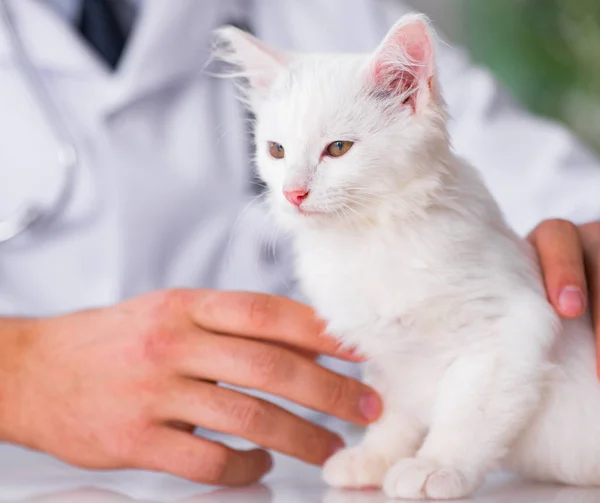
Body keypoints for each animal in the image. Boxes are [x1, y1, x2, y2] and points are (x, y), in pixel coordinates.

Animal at [214, 13, 600, 502]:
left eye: (337, 149)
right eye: (276, 151)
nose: (293, 193)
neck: (367, 240)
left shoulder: (507, 330)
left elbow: (465, 416)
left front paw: (436, 466)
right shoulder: (389, 358)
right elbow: (391, 415)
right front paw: (374, 458)